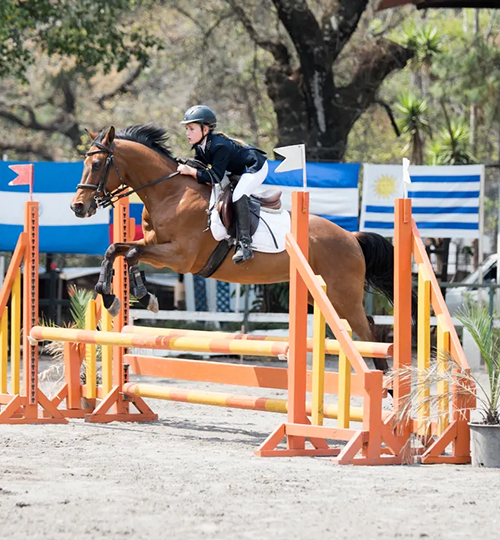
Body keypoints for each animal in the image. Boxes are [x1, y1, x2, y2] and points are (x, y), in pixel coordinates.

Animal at [71, 124, 398, 374]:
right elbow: (116, 249)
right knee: (365, 328)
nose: (78, 207)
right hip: (320, 294)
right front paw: (111, 296)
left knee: (367, 331)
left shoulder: (180, 257)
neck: (171, 193)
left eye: (97, 165)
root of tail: (351, 237)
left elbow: (130, 254)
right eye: (84, 164)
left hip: (343, 294)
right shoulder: (153, 244)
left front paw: (143, 296)